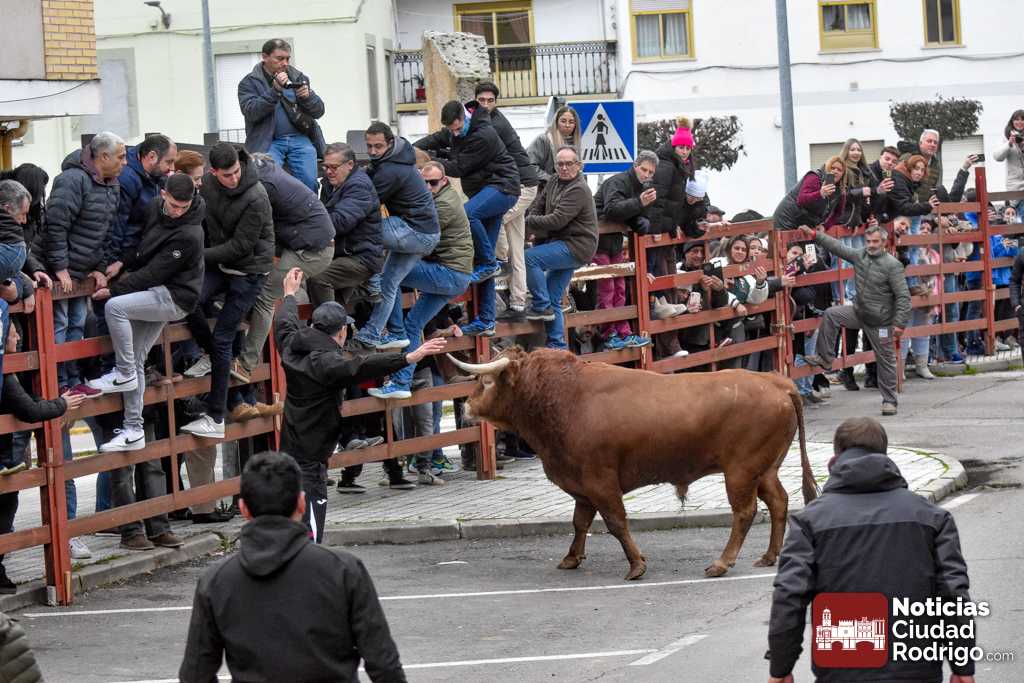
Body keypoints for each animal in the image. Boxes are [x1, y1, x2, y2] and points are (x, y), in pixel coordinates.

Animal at [448, 347, 819, 581]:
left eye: (486, 381)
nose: (465, 407)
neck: (565, 398)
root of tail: (776, 382)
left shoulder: (600, 482)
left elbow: (616, 523)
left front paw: (636, 565)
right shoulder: (582, 486)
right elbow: (580, 522)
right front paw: (571, 557)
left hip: (740, 472)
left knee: (745, 512)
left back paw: (722, 562)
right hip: (764, 470)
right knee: (778, 502)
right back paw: (769, 555)